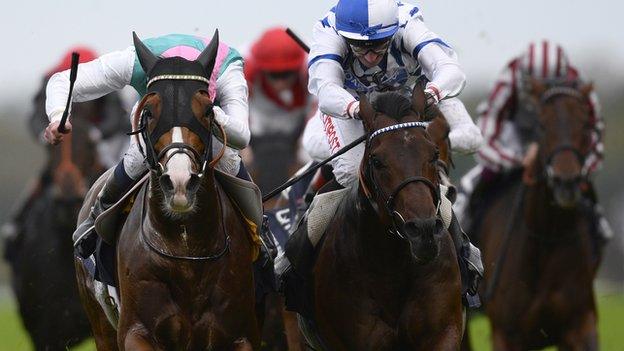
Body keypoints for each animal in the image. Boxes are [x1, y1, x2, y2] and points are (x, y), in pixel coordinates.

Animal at [75, 31, 258, 350]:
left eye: (208, 111)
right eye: (148, 112)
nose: (180, 180)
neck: (186, 255)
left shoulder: (241, 334)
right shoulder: (135, 331)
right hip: (101, 328)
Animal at [470, 82, 604, 350]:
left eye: (585, 124)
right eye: (541, 124)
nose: (566, 182)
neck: (545, 236)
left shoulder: (581, 326)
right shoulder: (506, 335)